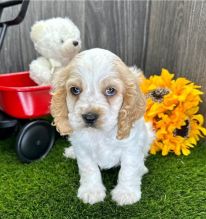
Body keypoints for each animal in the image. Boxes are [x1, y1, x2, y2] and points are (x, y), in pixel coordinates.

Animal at [50, 48, 154, 205]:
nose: (89, 117)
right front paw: (91, 191)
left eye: (110, 90)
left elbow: (128, 170)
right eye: (75, 90)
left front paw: (126, 193)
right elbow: (89, 169)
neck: (100, 134)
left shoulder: (131, 147)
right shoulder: (83, 149)